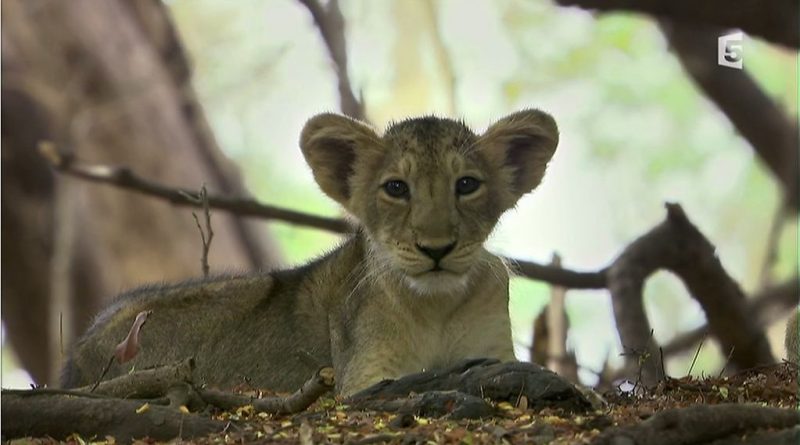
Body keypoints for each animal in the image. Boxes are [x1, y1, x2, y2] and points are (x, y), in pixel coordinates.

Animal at [62, 109, 559, 395]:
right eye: (397, 188)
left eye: (467, 185)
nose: (436, 248)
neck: (435, 305)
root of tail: (77, 356)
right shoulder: (360, 379)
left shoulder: (493, 344)